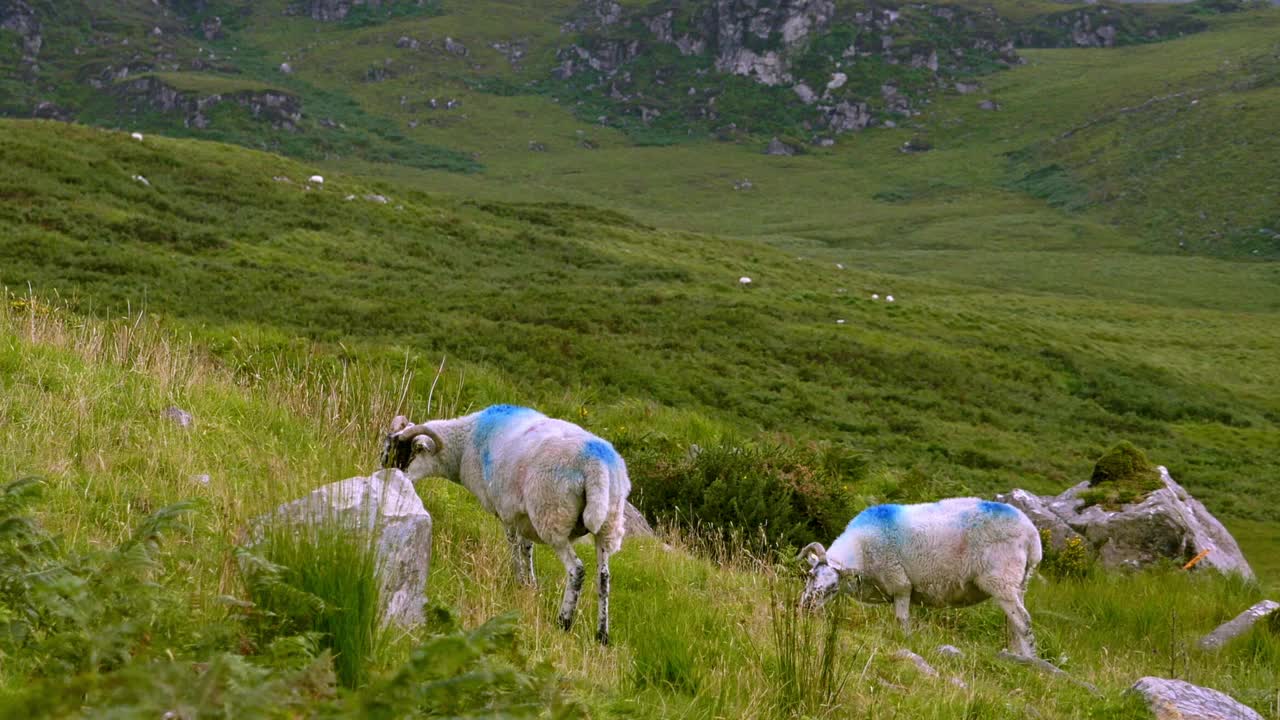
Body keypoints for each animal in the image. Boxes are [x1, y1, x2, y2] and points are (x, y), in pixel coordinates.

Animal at [378, 404, 629, 645]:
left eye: (400, 452)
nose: (383, 476)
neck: (464, 444)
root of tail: (596, 465)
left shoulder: (506, 510)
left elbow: (513, 546)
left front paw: (518, 581)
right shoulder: (523, 517)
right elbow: (527, 548)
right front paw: (530, 585)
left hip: (552, 516)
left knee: (576, 569)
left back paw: (564, 621)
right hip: (608, 525)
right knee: (604, 577)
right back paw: (602, 635)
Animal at [798, 497, 1039, 653]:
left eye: (833, 589)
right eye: (809, 575)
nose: (806, 607)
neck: (861, 549)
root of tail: (1033, 537)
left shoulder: (900, 584)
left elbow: (902, 620)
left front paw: (905, 642)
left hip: (1001, 580)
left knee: (1024, 621)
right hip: (1018, 584)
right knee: (1015, 625)